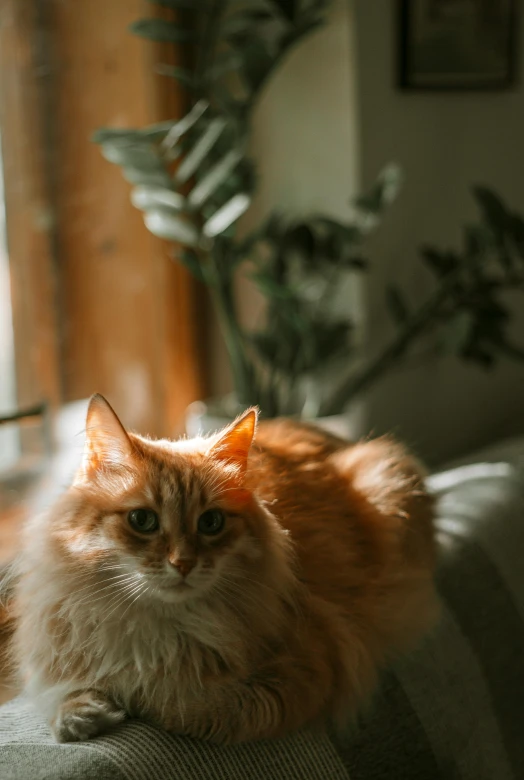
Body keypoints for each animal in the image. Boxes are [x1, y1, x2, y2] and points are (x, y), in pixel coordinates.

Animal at [10, 396, 438, 744]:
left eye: (211, 523)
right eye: (142, 521)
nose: (183, 563)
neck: (161, 628)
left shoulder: (305, 668)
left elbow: (176, 699)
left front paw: (124, 699)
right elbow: (59, 691)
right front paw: (78, 715)